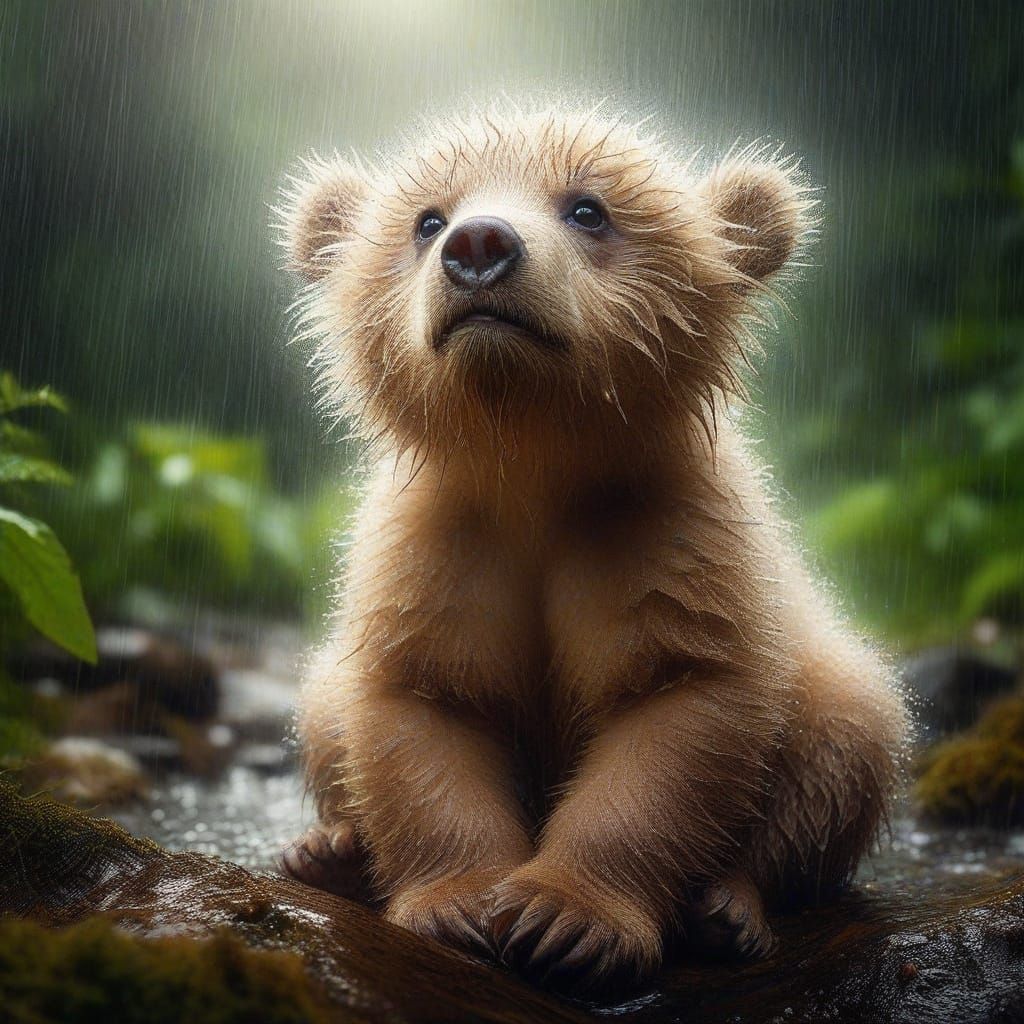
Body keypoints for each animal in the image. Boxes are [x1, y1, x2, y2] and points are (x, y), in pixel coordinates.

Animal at [276, 104, 908, 993]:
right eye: (425, 219)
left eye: (588, 208)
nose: (478, 246)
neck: (536, 466)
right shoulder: (443, 546)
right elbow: (425, 701)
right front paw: (457, 905)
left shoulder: (661, 534)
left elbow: (675, 706)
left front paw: (566, 918)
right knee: (324, 708)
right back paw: (328, 851)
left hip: (829, 690)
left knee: (849, 735)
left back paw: (729, 909)